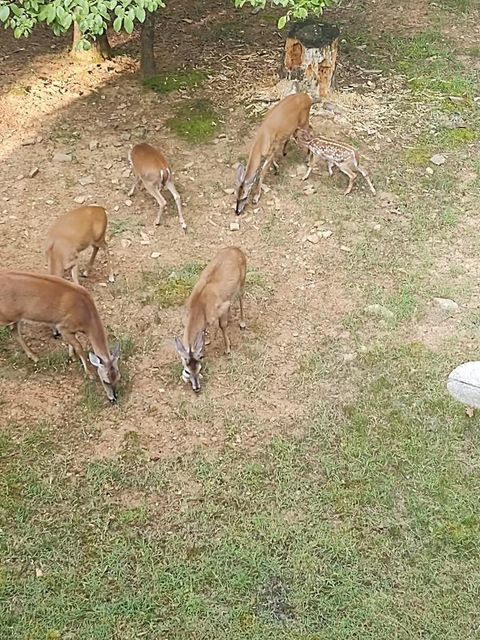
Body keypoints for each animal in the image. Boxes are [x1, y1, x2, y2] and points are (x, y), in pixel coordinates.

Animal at [0, 272, 122, 402]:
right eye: (105, 381)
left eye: (118, 377)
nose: (113, 398)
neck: (86, 317)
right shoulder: (63, 326)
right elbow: (79, 347)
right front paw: (89, 373)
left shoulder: (69, 329)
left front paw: (72, 356)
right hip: (7, 316)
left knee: (14, 331)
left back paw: (33, 356)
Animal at [173, 246, 248, 392]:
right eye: (187, 371)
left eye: (199, 368)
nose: (196, 388)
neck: (199, 307)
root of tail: (237, 249)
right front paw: (206, 342)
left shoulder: (223, 307)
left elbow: (222, 326)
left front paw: (227, 349)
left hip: (242, 282)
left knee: (241, 298)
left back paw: (242, 323)